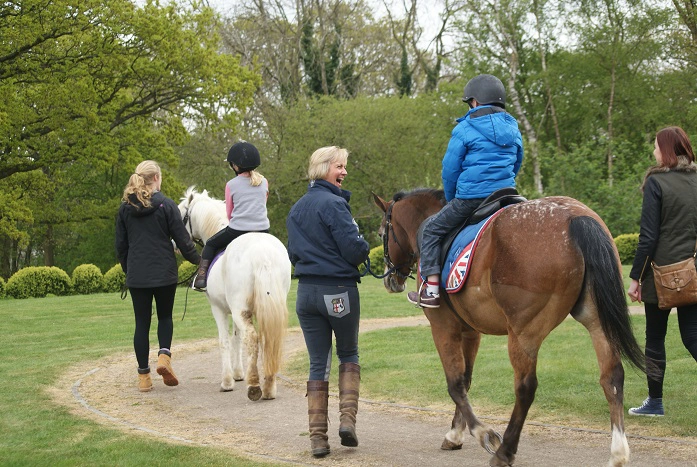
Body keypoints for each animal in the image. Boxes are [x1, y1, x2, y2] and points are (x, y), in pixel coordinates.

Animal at [179, 186, 290, 402]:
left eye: (181, 216)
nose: (175, 243)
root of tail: (262, 253)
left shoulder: (219, 309)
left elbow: (225, 341)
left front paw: (228, 381)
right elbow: (237, 339)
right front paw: (239, 374)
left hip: (239, 309)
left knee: (252, 338)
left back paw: (255, 386)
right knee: (267, 339)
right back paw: (269, 387)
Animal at [372, 189, 644, 467]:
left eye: (382, 233)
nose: (390, 279)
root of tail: (574, 217)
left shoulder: (443, 326)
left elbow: (455, 383)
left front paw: (482, 433)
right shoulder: (470, 331)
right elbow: (466, 379)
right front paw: (455, 433)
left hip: (523, 332)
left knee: (525, 387)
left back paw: (505, 451)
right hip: (597, 321)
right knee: (612, 377)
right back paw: (618, 452)